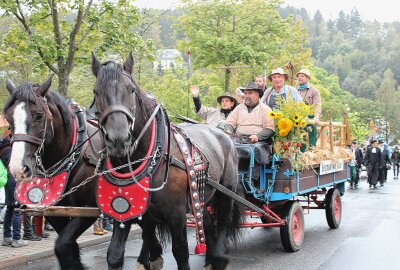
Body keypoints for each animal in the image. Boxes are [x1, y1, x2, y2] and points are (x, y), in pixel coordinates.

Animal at [3, 77, 103, 268]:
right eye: (8, 117)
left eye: (38, 115)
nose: (18, 169)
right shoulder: (55, 210)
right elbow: (65, 246)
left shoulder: (88, 209)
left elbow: (63, 246)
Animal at [90, 53, 241, 270]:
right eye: (96, 91)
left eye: (131, 89)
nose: (118, 139)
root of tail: (225, 134)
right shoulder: (126, 211)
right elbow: (117, 253)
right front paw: (151, 257)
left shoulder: (176, 215)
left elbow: (181, 253)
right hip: (201, 196)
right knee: (206, 222)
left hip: (226, 192)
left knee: (223, 222)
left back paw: (219, 257)